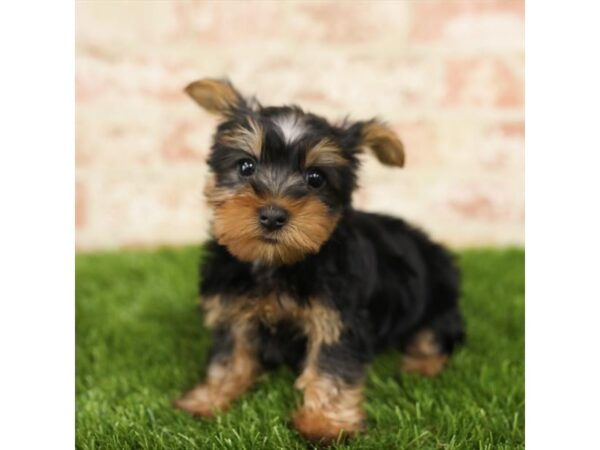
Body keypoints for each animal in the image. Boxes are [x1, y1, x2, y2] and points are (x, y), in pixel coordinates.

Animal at [173, 78, 464, 442]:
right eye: (245, 167)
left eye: (315, 178)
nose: (272, 215)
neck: (277, 263)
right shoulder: (231, 305)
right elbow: (229, 355)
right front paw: (211, 397)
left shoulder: (338, 315)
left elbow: (331, 364)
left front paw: (325, 422)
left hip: (436, 293)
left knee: (438, 333)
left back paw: (420, 364)